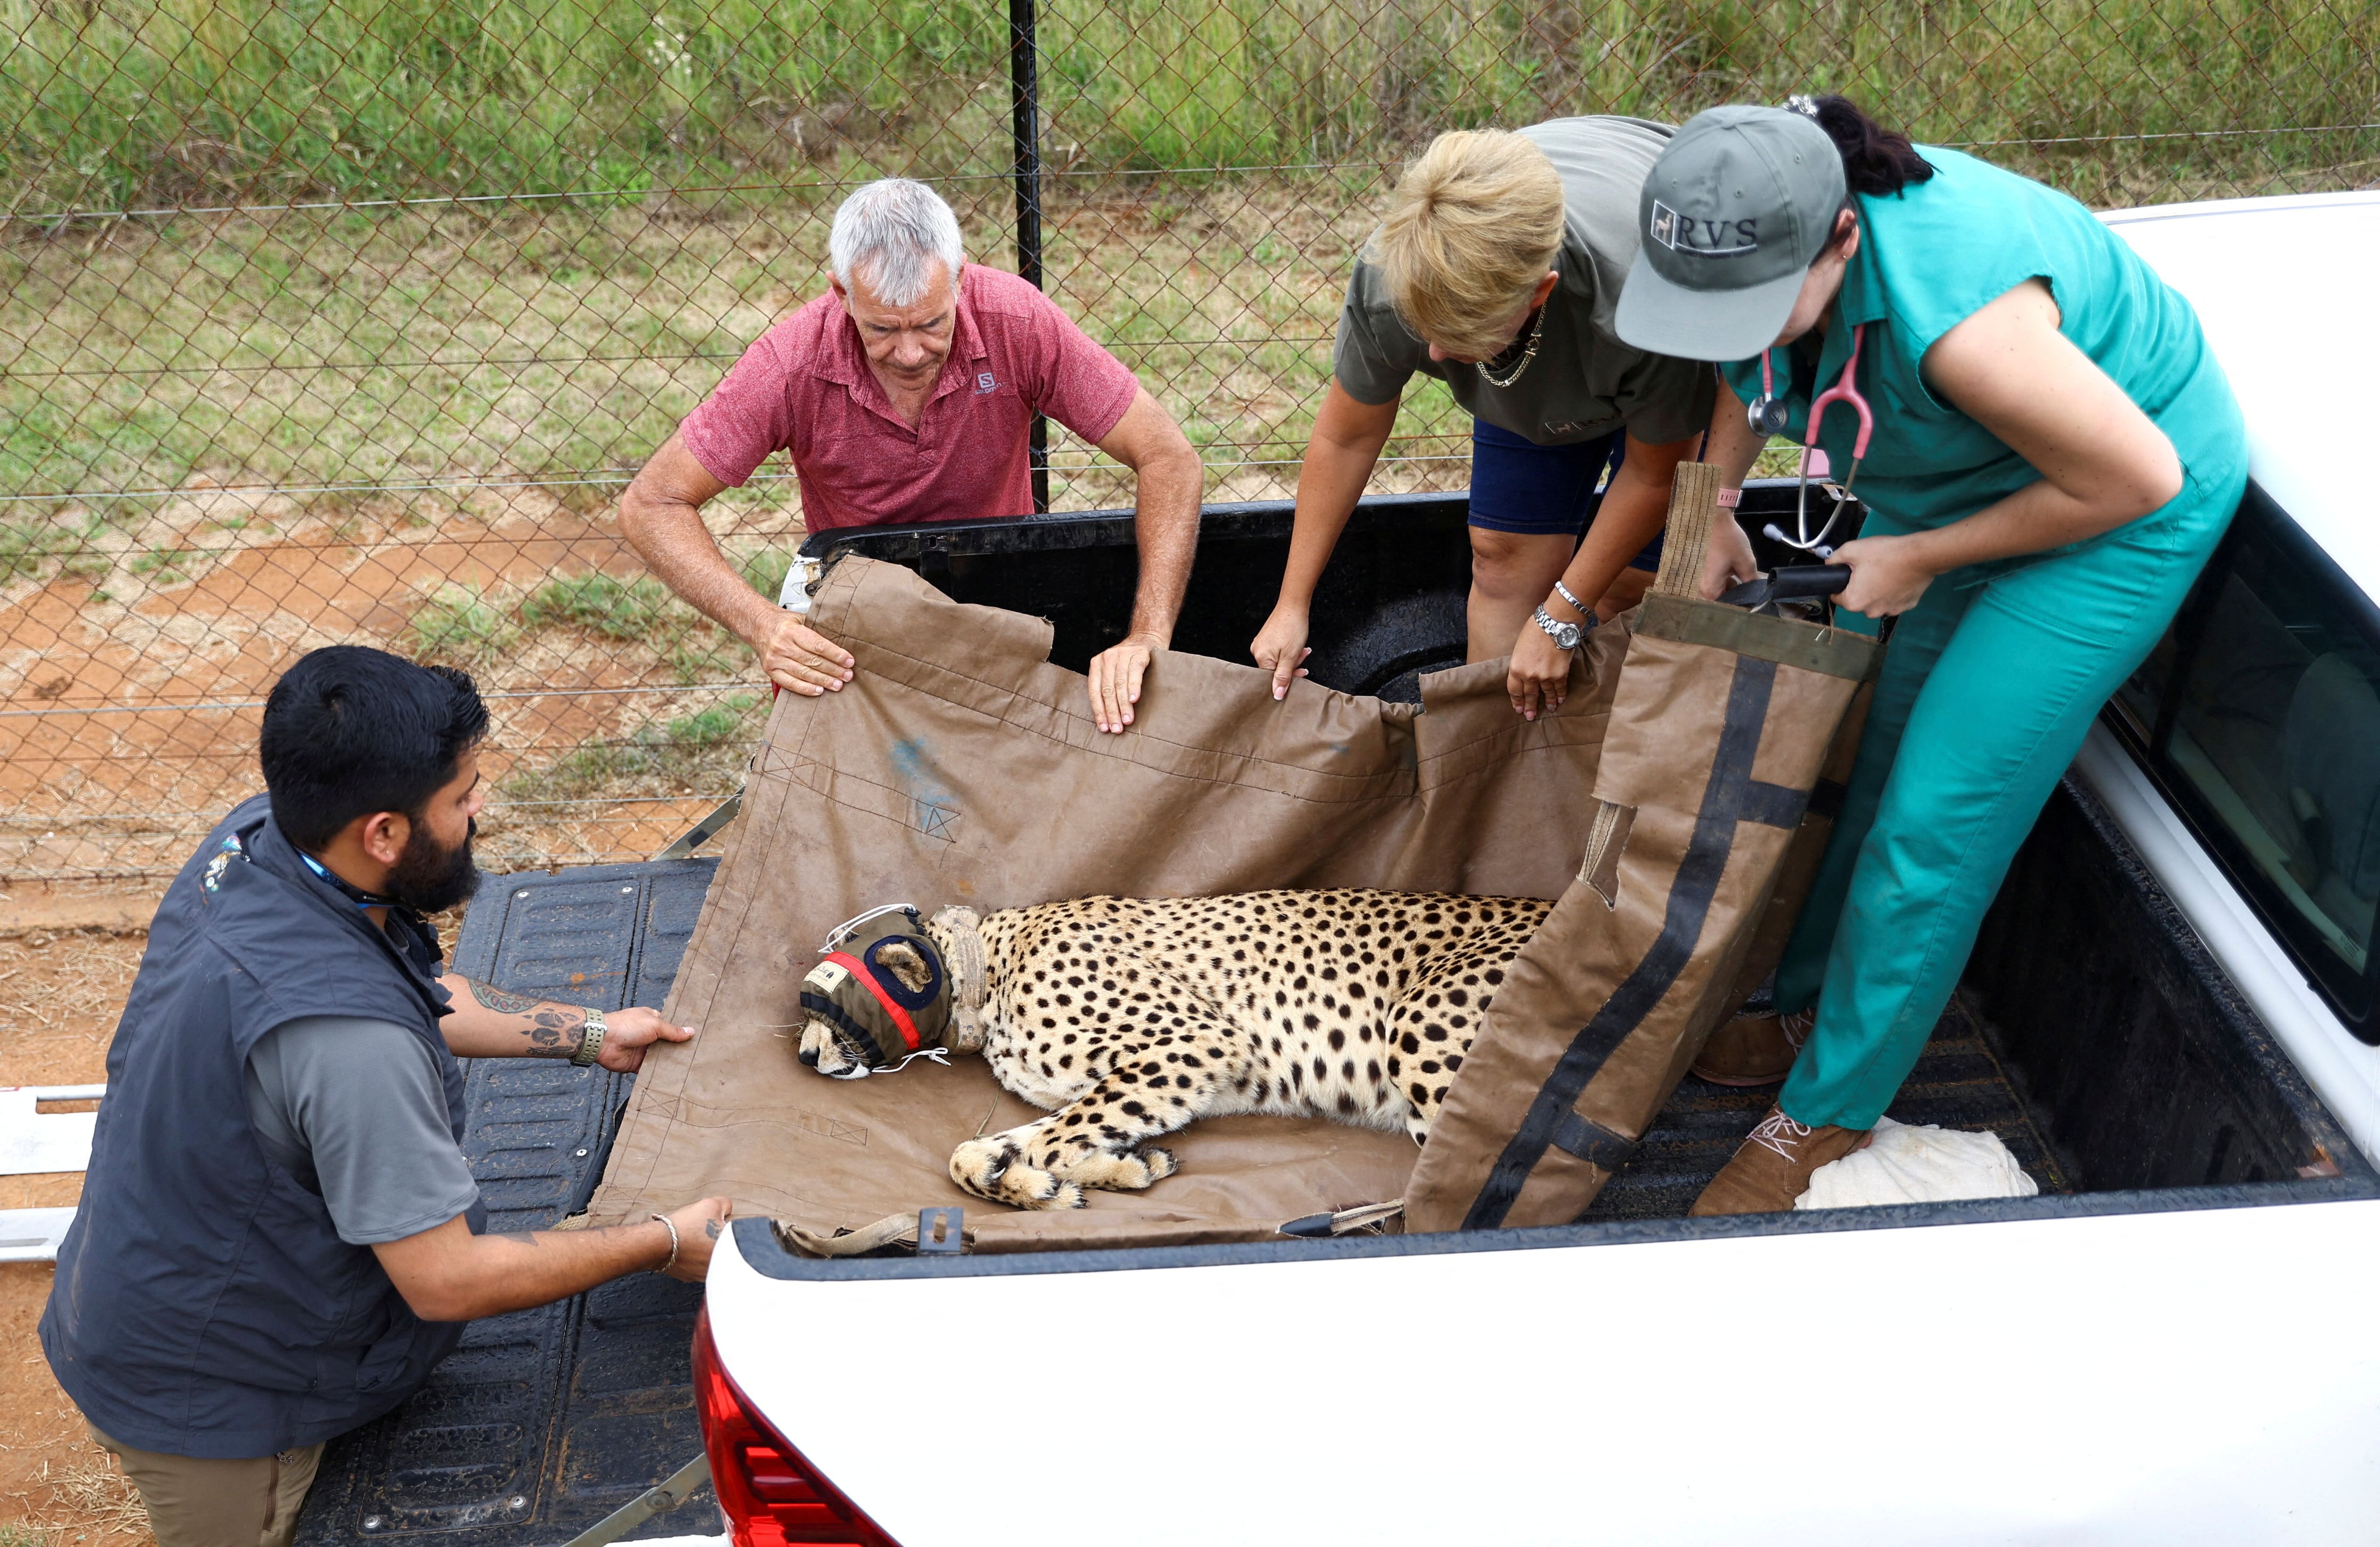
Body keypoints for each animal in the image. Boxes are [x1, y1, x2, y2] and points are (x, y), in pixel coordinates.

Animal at [790, 890, 1552, 1204]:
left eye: (823, 1000)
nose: (802, 1055)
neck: (986, 970)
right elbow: (977, 1149)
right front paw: (1114, 1169)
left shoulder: (1202, 1039)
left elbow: (1054, 1142)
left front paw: (1057, 1180)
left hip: (1419, 1036)